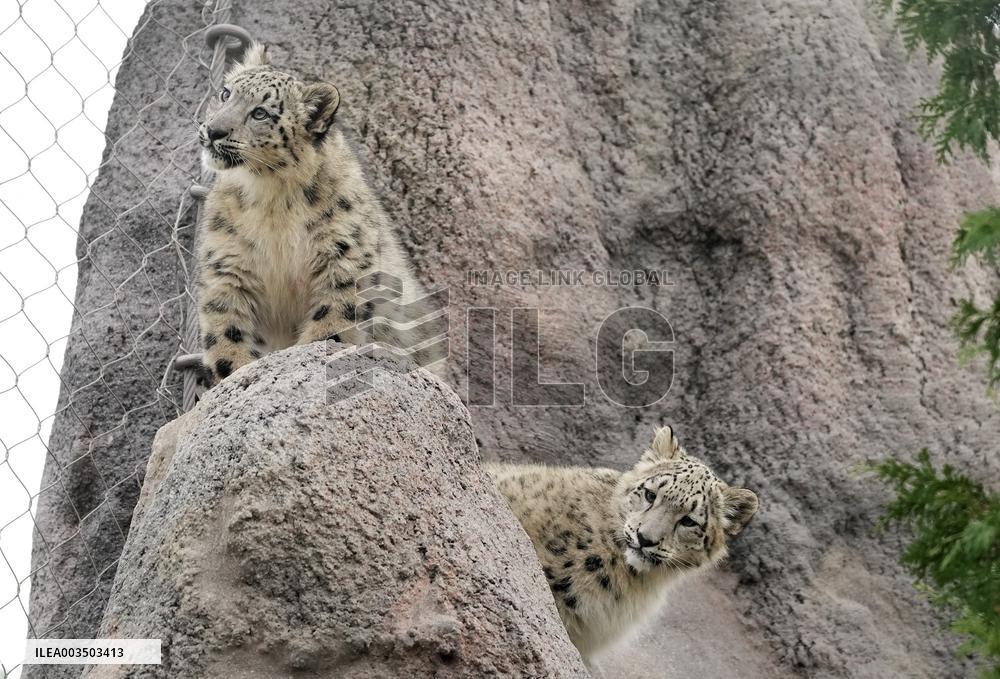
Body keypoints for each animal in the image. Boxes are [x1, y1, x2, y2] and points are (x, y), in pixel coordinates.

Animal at [194, 42, 445, 386]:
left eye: (261, 113)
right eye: (225, 93)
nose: (214, 130)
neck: (271, 200)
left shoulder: (344, 254)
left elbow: (334, 319)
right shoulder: (228, 264)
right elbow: (226, 330)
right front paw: (238, 374)